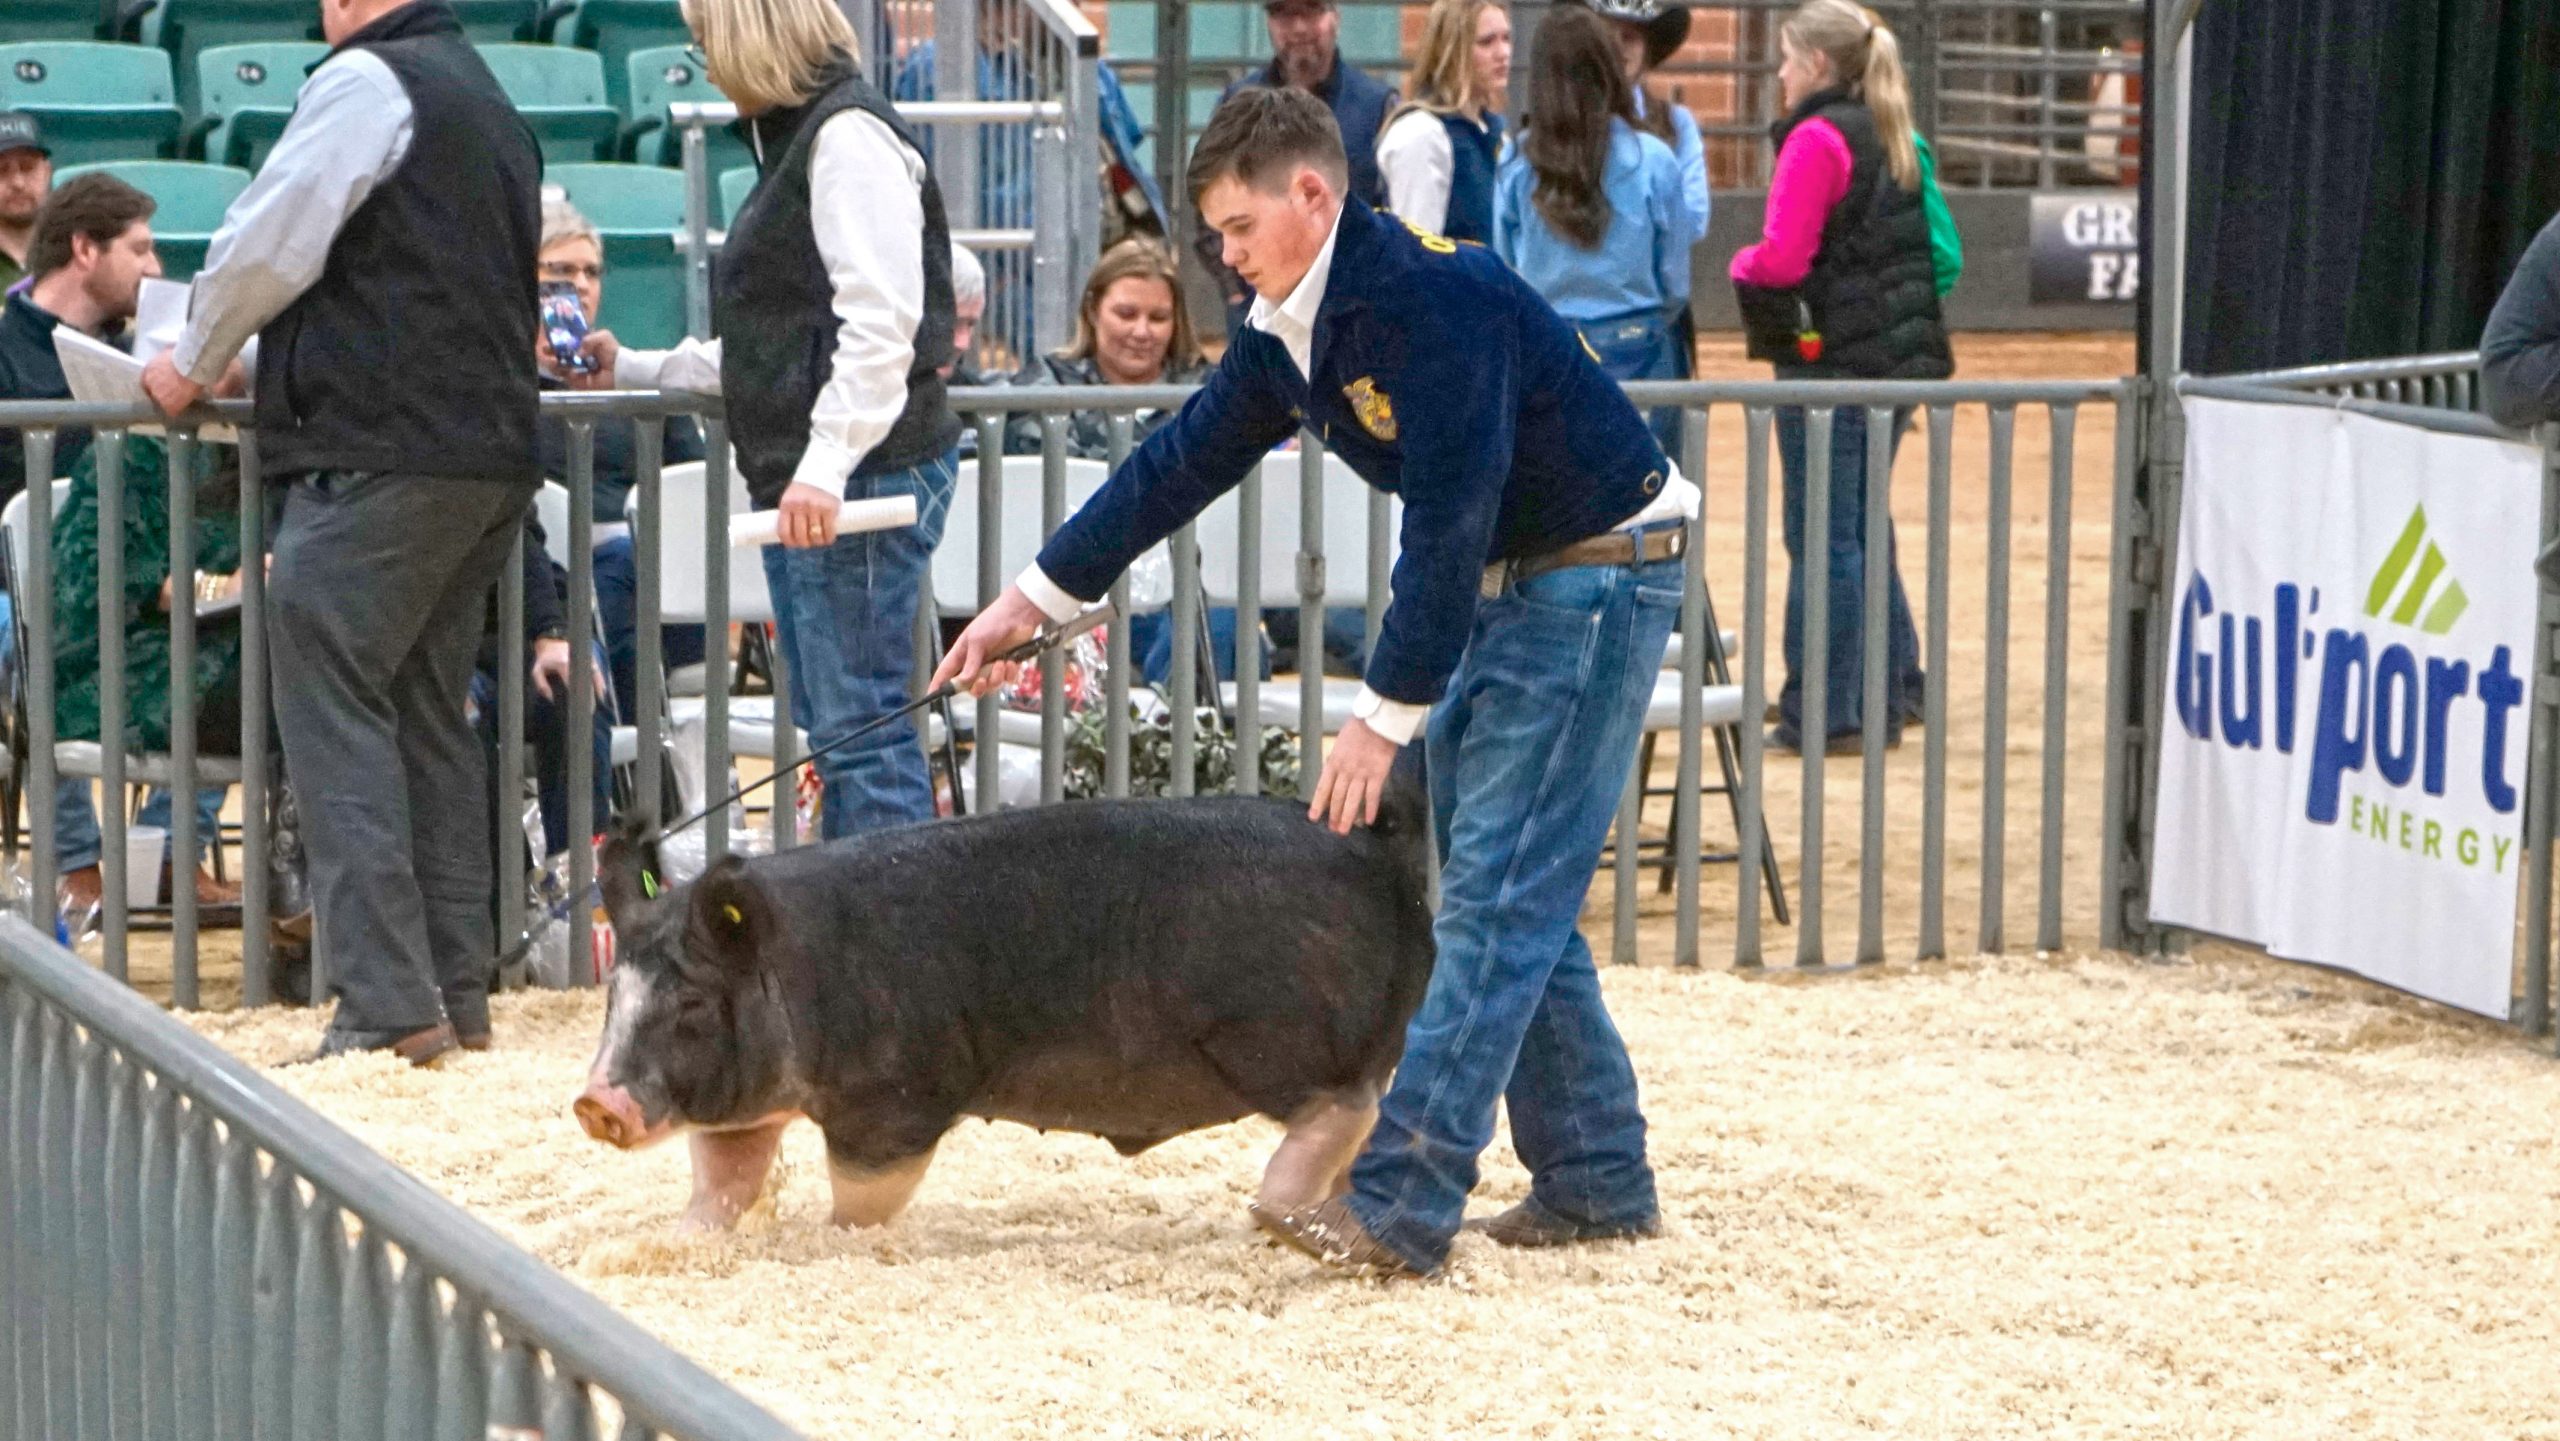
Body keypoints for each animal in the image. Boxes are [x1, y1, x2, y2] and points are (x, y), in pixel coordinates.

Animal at [573, 758, 1436, 1233]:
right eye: (616, 997)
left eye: (690, 1003)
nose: (595, 1102)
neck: (804, 969)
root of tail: (1375, 847)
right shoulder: (743, 1103)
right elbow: (724, 1178)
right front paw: (683, 1237)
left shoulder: (896, 1098)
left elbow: (862, 1199)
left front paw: (839, 1236)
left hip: (1275, 1037)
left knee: (1348, 1109)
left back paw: (1273, 1211)